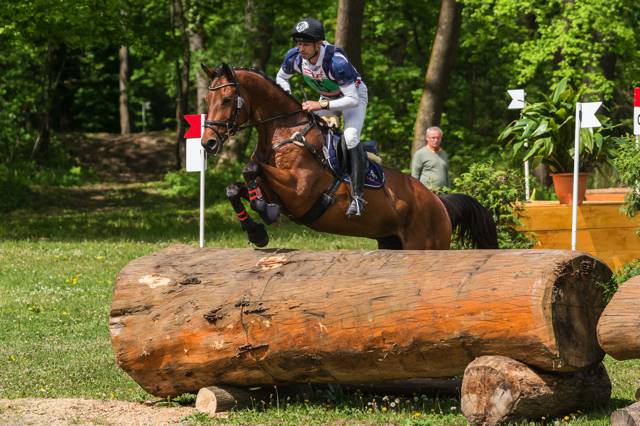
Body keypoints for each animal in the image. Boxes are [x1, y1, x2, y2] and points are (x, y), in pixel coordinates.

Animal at [200, 63, 496, 250]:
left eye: (227, 99)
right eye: (206, 100)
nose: (208, 143)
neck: (283, 132)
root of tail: (439, 203)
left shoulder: (298, 191)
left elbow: (250, 168)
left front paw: (265, 211)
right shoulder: (276, 189)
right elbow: (234, 188)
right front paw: (256, 231)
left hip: (425, 244)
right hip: (392, 243)